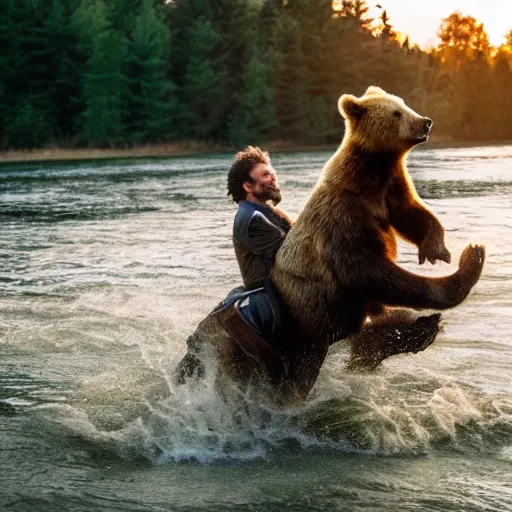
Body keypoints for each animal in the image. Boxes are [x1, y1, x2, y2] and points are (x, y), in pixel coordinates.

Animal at [176, 86, 484, 402]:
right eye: (397, 112)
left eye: (404, 105)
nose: (425, 122)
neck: (370, 177)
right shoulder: (344, 222)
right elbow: (373, 272)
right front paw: (469, 261)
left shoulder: (390, 192)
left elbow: (414, 214)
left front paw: (439, 251)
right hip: (287, 335)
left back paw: (419, 329)